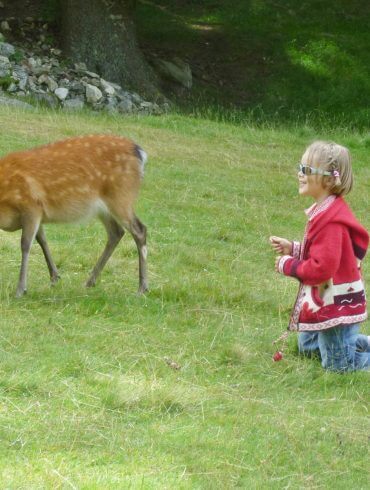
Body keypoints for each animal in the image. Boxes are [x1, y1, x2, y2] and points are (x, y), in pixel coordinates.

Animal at [0, 132, 149, 296]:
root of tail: (140, 152)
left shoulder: (31, 206)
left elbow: (26, 244)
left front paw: (20, 289)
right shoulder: (38, 213)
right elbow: (42, 239)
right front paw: (55, 277)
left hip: (121, 197)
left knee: (139, 230)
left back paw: (142, 287)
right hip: (103, 208)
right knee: (116, 232)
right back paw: (90, 282)